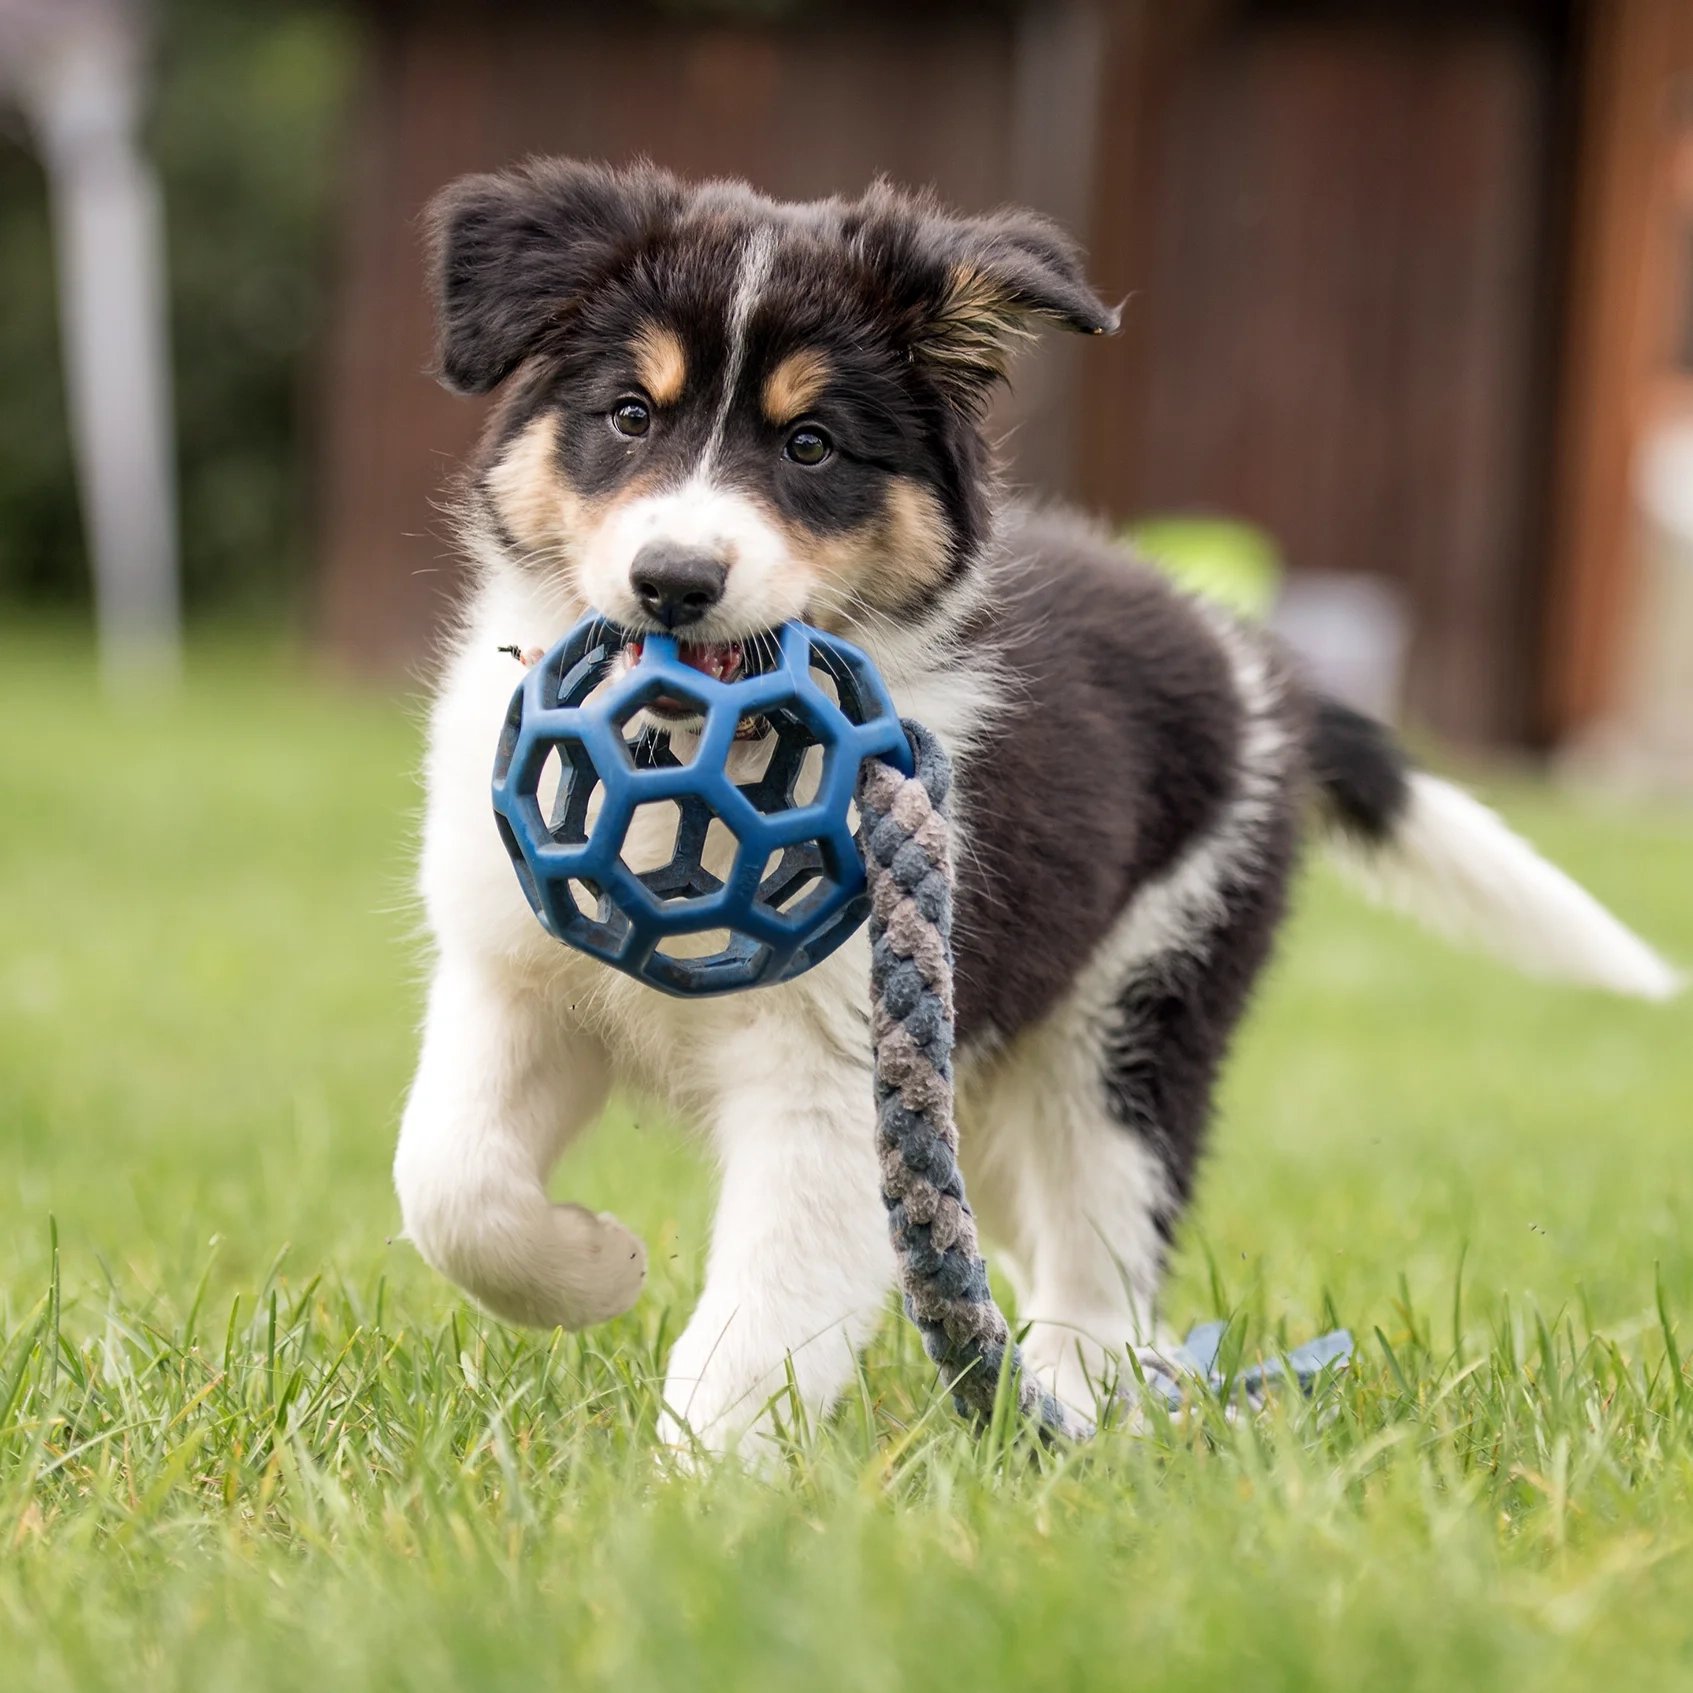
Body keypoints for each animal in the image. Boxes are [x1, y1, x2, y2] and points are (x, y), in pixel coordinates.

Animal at [396, 161, 1679, 1455]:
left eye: (811, 445)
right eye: (628, 415)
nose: (672, 582)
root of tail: (1253, 665)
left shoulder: (831, 1070)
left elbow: (757, 1325)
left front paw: (696, 1485)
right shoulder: (513, 972)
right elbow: (448, 1180)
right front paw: (595, 1269)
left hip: (1135, 1015)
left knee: (1099, 1262)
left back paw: (1076, 1412)